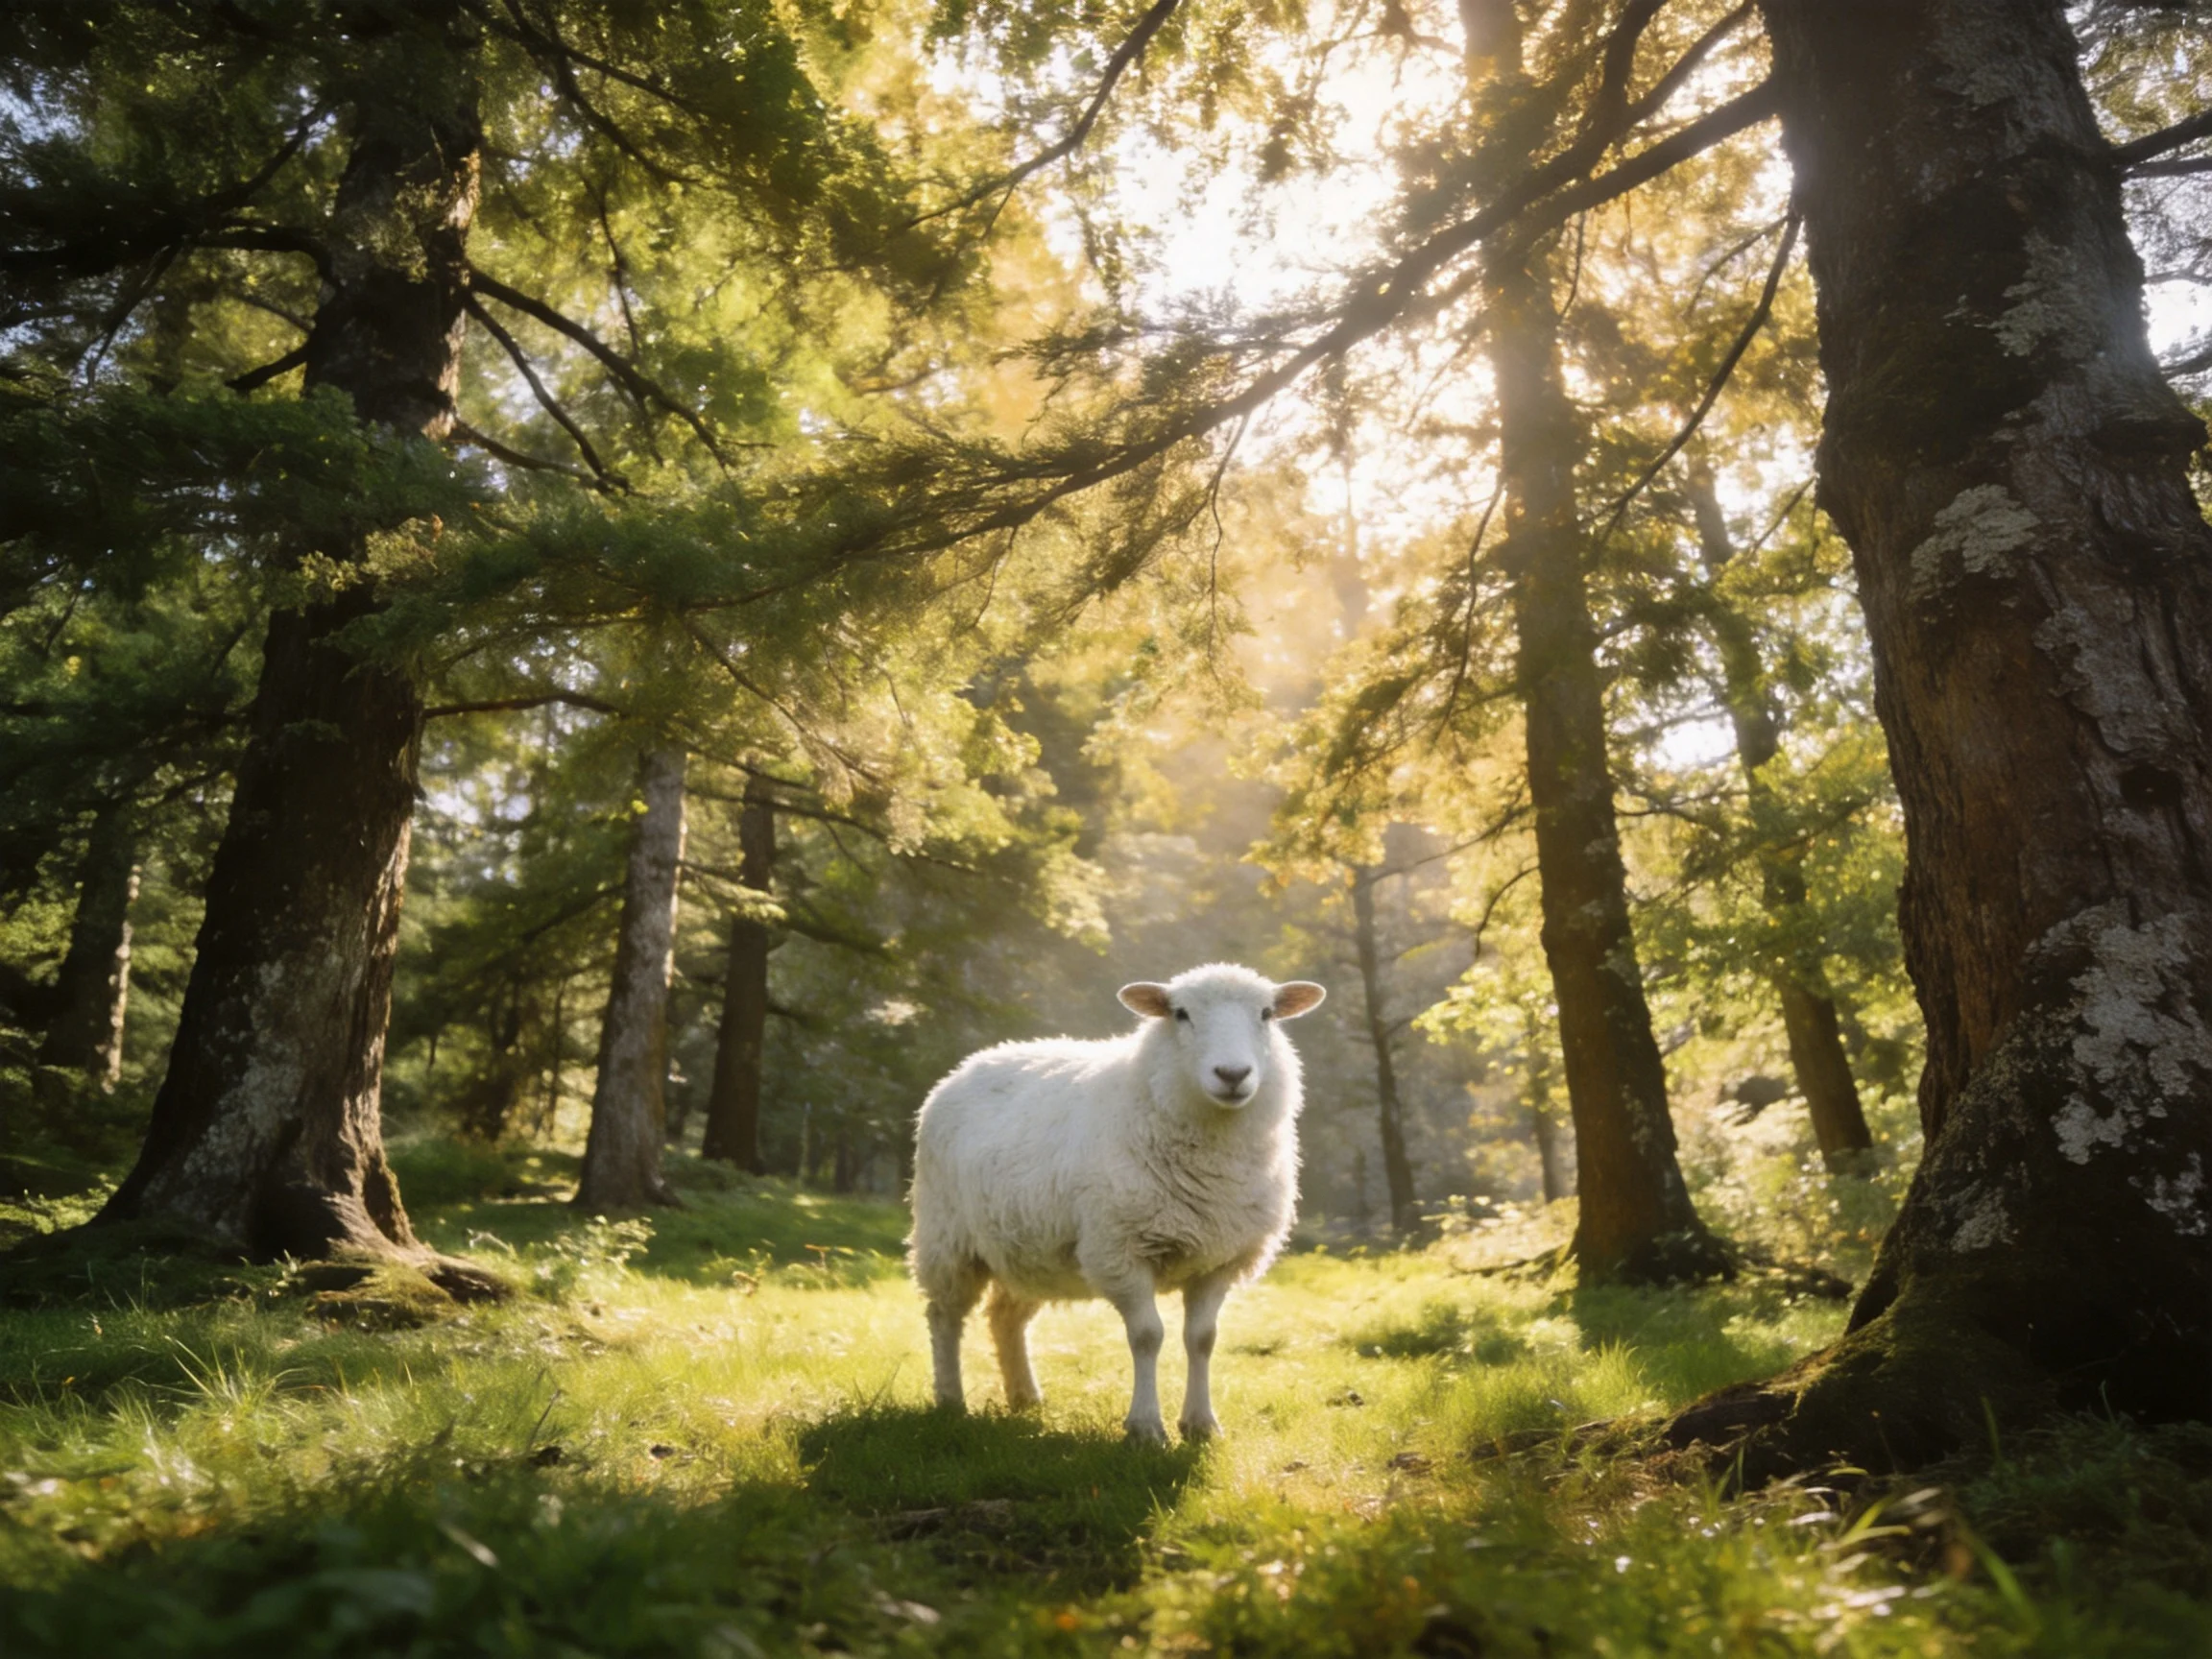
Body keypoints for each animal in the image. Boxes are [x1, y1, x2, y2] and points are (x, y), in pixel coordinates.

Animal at [908, 962, 1326, 1443]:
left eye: (1267, 1014)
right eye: (1180, 1014)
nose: (1233, 1073)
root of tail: (972, 1062)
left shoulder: (1218, 1259)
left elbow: (1202, 1338)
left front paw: (1201, 1424)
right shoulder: (1120, 1249)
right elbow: (1147, 1336)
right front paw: (1145, 1427)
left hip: (1026, 1248)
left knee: (1005, 1317)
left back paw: (1025, 1397)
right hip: (946, 1236)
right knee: (944, 1317)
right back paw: (950, 1400)